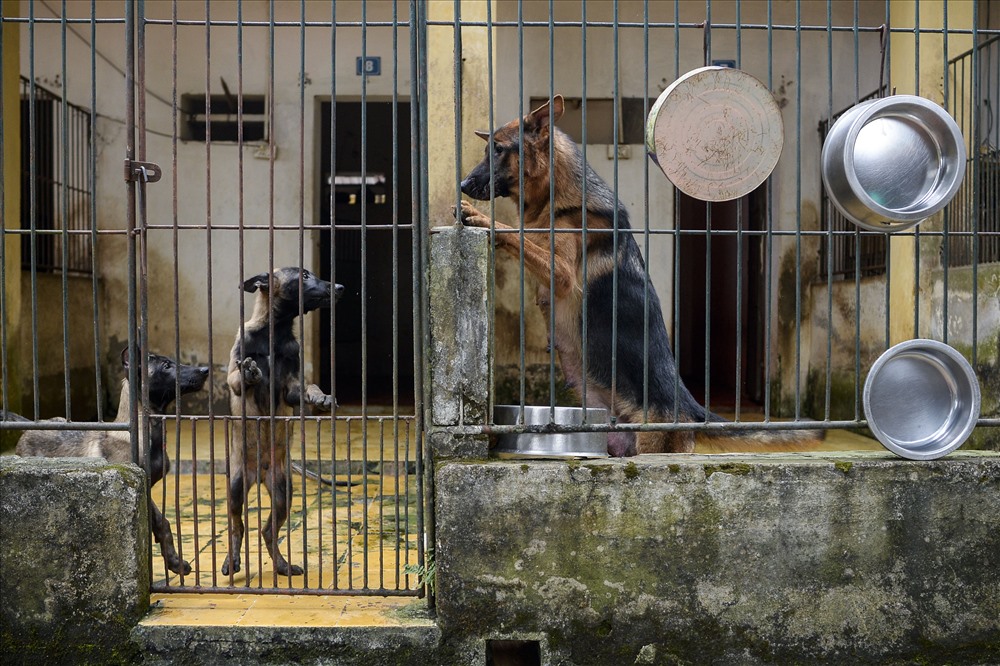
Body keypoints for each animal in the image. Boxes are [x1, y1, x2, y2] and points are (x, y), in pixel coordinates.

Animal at [223, 264, 344, 576]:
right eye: (303, 276)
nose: (339, 287)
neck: (273, 332)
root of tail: (260, 473)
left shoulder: (291, 387)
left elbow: (308, 387)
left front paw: (322, 398)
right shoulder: (234, 374)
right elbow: (239, 377)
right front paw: (251, 372)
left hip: (282, 493)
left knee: (268, 530)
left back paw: (281, 565)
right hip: (236, 486)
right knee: (237, 525)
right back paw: (232, 560)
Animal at [458, 93, 824, 454]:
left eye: (499, 150)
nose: (462, 184)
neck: (554, 195)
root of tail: (688, 406)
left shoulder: (561, 273)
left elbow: (517, 235)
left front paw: (483, 219)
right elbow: (526, 238)